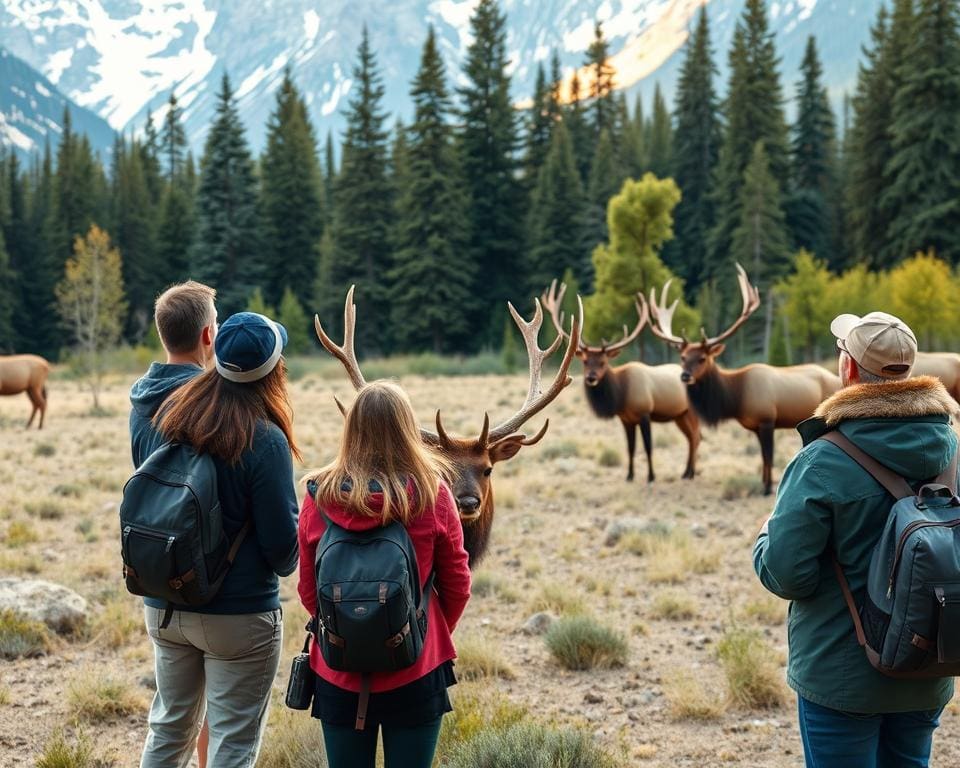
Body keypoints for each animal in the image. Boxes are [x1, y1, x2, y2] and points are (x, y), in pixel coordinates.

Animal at [540, 282, 696, 484]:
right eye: (585, 361)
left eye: (603, 362)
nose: (591, 377)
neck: (621, 395)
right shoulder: (626, 419)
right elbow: (630, 448)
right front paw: (630, 475)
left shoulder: (644, 413)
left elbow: (648, 446)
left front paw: (651, 476)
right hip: (680, 415)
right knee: (693, 438)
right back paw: (687, 472)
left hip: (691, 412)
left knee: (695, 437)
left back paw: (689, 472)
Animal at [644, 264, 840, 496]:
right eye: (682, 357)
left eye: (702, 358)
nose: (685, 376)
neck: (736, 398)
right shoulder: (755, 425)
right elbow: (763, 457)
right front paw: (764, 482)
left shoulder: (767, 419)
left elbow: (768, 456)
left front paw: (767, 488)